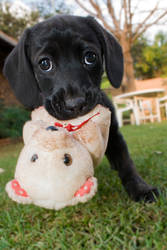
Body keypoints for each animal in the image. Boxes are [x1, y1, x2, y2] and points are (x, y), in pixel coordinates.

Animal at [2, 14, 159, 202]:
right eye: (45, 63)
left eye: (90, 57)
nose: (75, 104)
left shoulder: (114, 134)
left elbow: (126, 164)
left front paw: (141, 189)